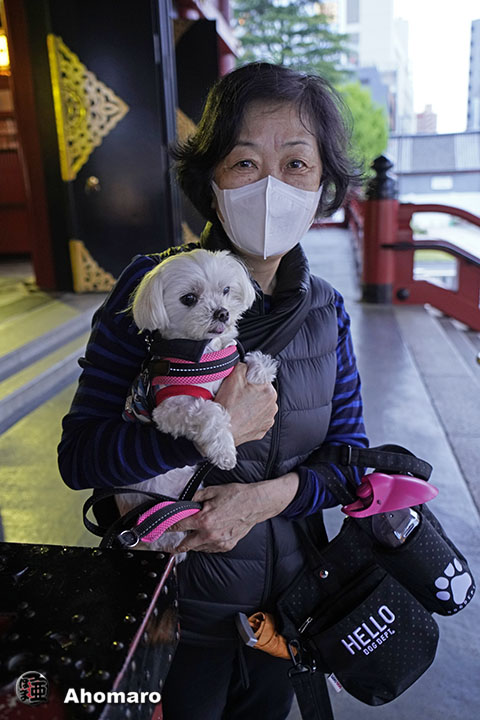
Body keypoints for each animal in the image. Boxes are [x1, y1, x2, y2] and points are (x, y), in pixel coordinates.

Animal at [117, 249, 277, 555]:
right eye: (189, 298)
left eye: (226, 290)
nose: (222, 312)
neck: (205, 353)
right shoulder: (169, 407)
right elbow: (210, 411)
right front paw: (224, 451)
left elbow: (246, 359)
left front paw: (261, 368)